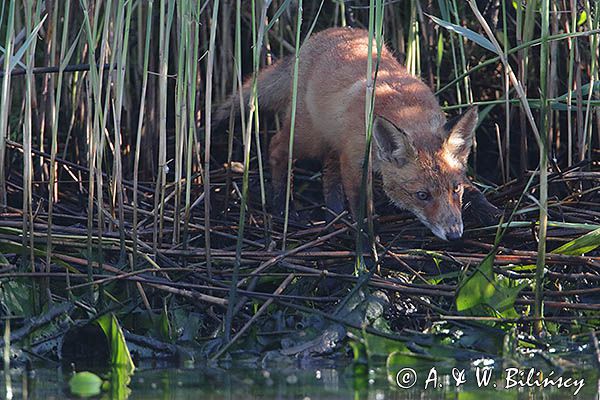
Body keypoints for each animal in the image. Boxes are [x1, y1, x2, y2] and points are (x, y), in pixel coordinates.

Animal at [216, 28, 496, 241]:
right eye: (422, 195)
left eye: (455, 189)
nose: (454, 235)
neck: (407, 111)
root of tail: (318, 37)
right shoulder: (353, 160)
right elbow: (362, 206)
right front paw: (368, 241)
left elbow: (475, 190)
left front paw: (491, 212)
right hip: (309, 138)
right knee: (276, 148)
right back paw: (284, 207)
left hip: (330, 139)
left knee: (328, 172)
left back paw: (333, 213)